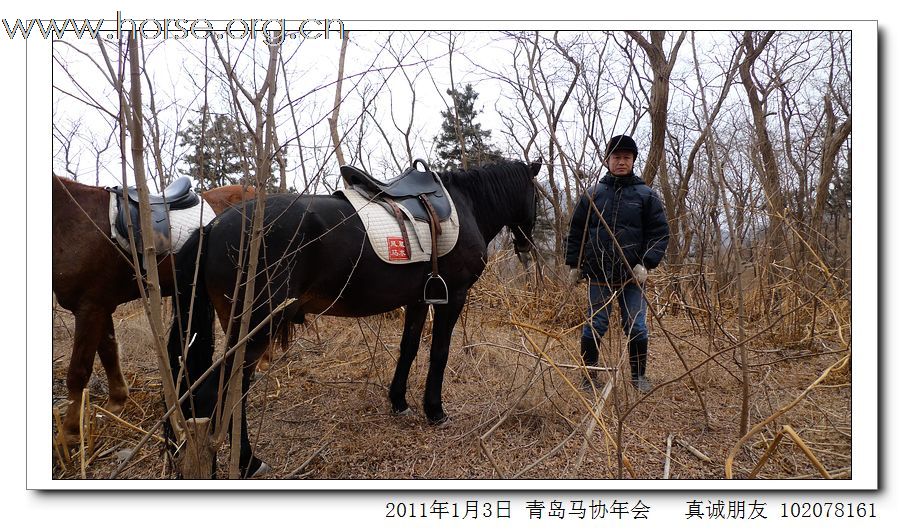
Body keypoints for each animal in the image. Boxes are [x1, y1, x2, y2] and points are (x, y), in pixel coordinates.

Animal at [52, 173, 254, 442]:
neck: (73, 218)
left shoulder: (89, 307)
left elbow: (78, 371)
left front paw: (69, 435)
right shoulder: (100, 305)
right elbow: (108, 352)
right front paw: (116, 402)